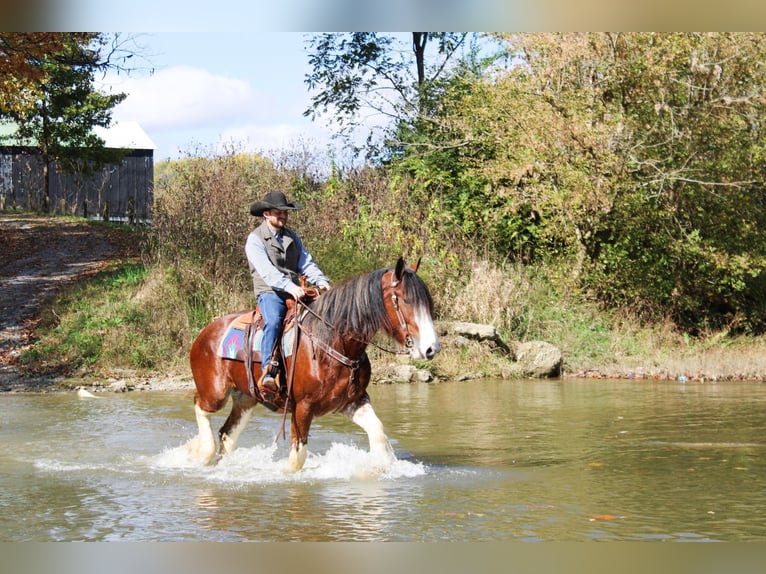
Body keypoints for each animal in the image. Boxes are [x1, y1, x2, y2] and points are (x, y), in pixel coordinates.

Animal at [185, 260, 444, 472]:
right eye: (406, 300)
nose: (432, 348)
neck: (331, 341)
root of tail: (205, 333)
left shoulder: (352, 401)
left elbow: (378, 433)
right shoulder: (302, 407)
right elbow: (297, 458)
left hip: (246, 398)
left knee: (227, 434)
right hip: (215, 393)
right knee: (200, 406)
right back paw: (202, 451)